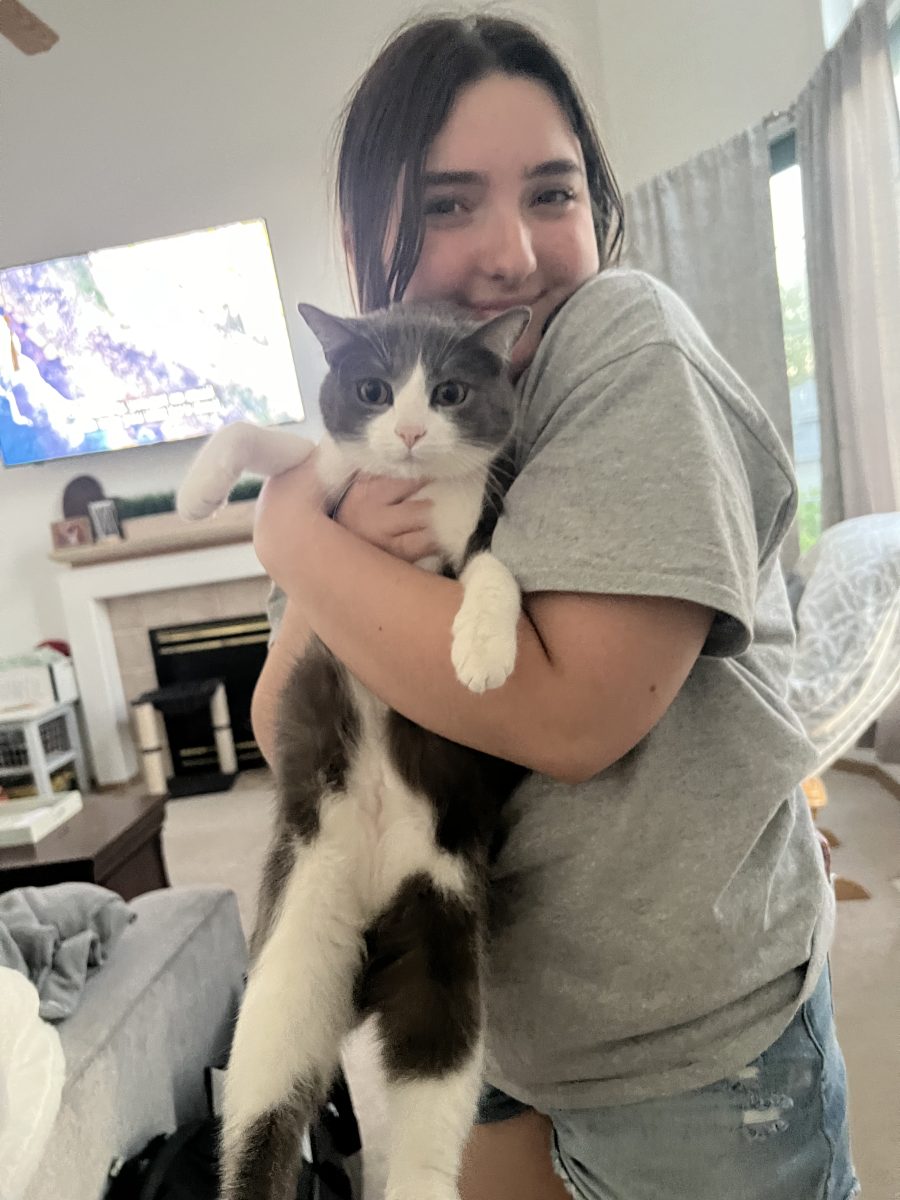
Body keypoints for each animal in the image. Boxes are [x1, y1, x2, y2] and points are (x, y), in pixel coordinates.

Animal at [177, 300, 532, 1200]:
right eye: (373, 390)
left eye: (448, 393)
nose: (406, 432)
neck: (410, 492)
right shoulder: (334, 475)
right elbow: (279, 445)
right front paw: (200, 489)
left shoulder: (474, 527)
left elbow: (497, 572)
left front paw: (483, 654)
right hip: (289, 952)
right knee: (265, 1107)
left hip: (443, 928)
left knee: (434, 1077)